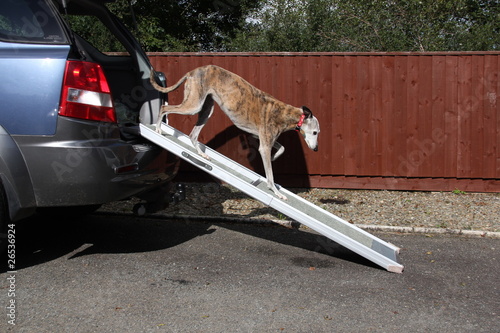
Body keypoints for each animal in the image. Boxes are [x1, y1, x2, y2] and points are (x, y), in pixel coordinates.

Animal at [149, 65, 320, 200]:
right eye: (315, 132)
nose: (316, 149)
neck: (285, 113)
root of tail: (193, 71)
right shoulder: (264, 145)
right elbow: (270, 176)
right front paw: (277, 193)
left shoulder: (260, 136)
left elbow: (282, 148)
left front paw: (274, 156)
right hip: (194, 105)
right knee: (164, 107)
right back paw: (158, 128)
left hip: (206, 109)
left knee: (193, 135)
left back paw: (201, 154)